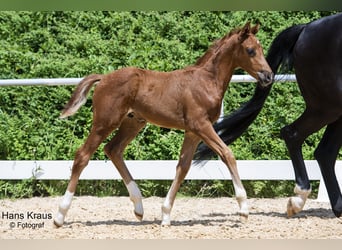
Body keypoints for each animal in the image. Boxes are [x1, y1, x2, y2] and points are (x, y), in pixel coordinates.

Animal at [52, 23, 272, 227]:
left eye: (261, 48)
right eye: (250, 50)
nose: (268, 76)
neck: (206, 81)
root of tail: (103, 77)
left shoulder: (192, 132)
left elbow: (183, 167)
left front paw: (165, 214)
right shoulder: (201, 125)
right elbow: (227, 154)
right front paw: (243, 209)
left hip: (133, 123)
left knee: (113, 149)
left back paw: (138, 207)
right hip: (105, 122)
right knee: (82, 155)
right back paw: (60, 215)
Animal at [195, 13, 342, 217]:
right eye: (250, 51)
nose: (267, 76)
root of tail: (306, 28)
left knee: (325, 152)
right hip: (327, 107)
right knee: (294, 135)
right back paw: (299, 199)